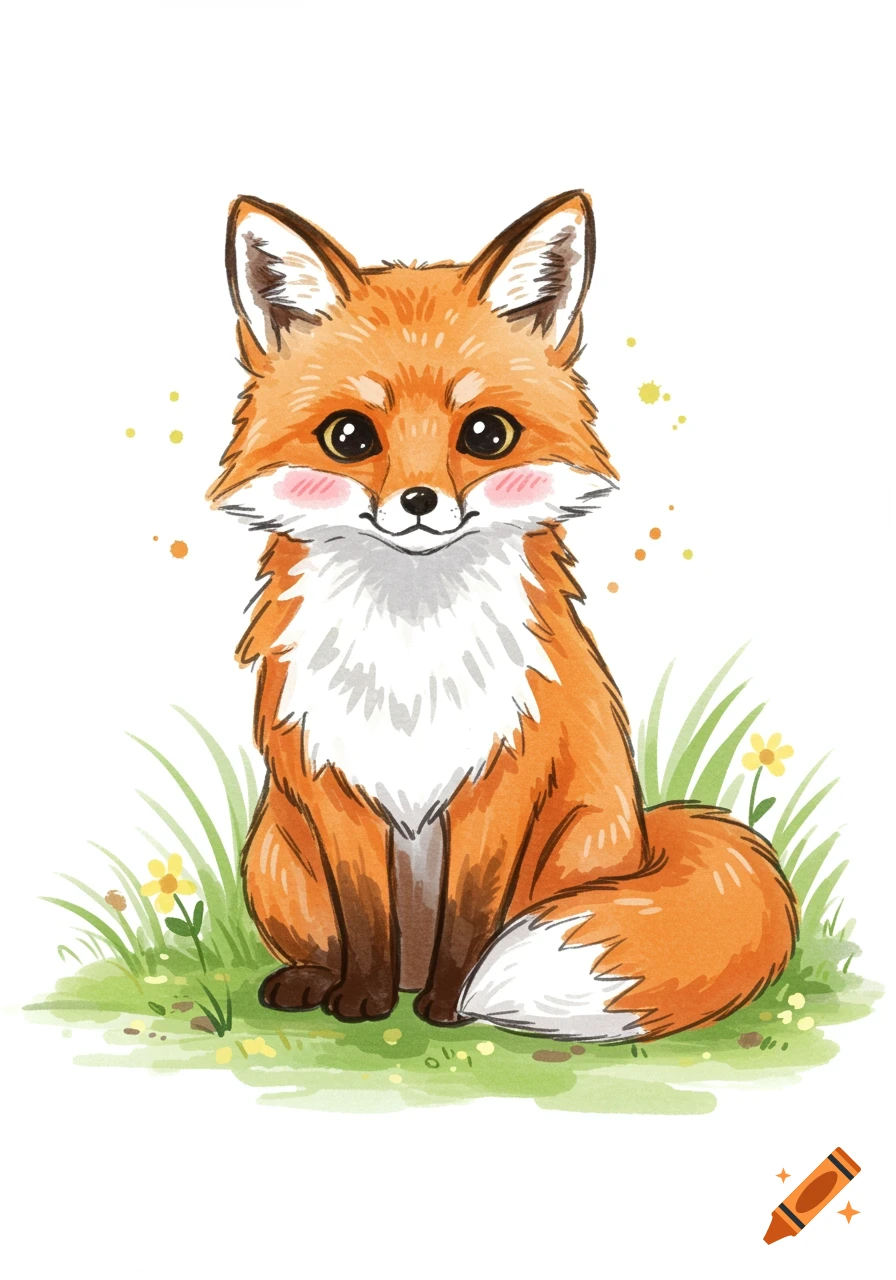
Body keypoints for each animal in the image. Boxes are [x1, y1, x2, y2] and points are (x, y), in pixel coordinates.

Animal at [207, 190, 798, 1040]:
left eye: (486, 433)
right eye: (350, 436)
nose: (420, 503)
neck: (411, 649)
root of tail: (648, 832)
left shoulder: (502, 780)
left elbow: (471, 917)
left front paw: (449, 1008)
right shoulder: (335, 786)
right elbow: (366, 919)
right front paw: (364, 1002)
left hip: (580, 845)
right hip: (276, 859)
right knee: (330, 937)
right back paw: (315, 982)